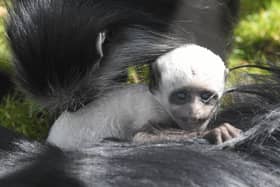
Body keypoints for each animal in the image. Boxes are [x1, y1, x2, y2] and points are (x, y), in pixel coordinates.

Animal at [47, 43, 241, 149]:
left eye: (206, 97)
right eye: (181, 96)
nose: (194, 113)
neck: (158, 101)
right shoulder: (150, 110)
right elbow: (140, 137)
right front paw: (213, 132)